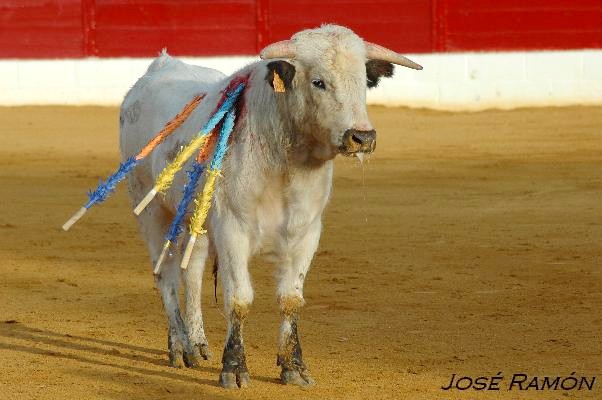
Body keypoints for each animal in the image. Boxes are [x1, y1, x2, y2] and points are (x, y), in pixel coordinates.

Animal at [119, 24, 420, 388]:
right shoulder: (233, 229)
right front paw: (234, 369)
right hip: (151, 209)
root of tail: (159, 67)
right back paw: (179, 348)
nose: (362, 137)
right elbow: (239, 299)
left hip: (198, 219)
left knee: (192, 272)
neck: (285, 162)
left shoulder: (306, 232)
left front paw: (294, 367)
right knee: (165, 275)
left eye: (363, 81)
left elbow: (291, 298)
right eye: (318, 81)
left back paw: (198, 344)